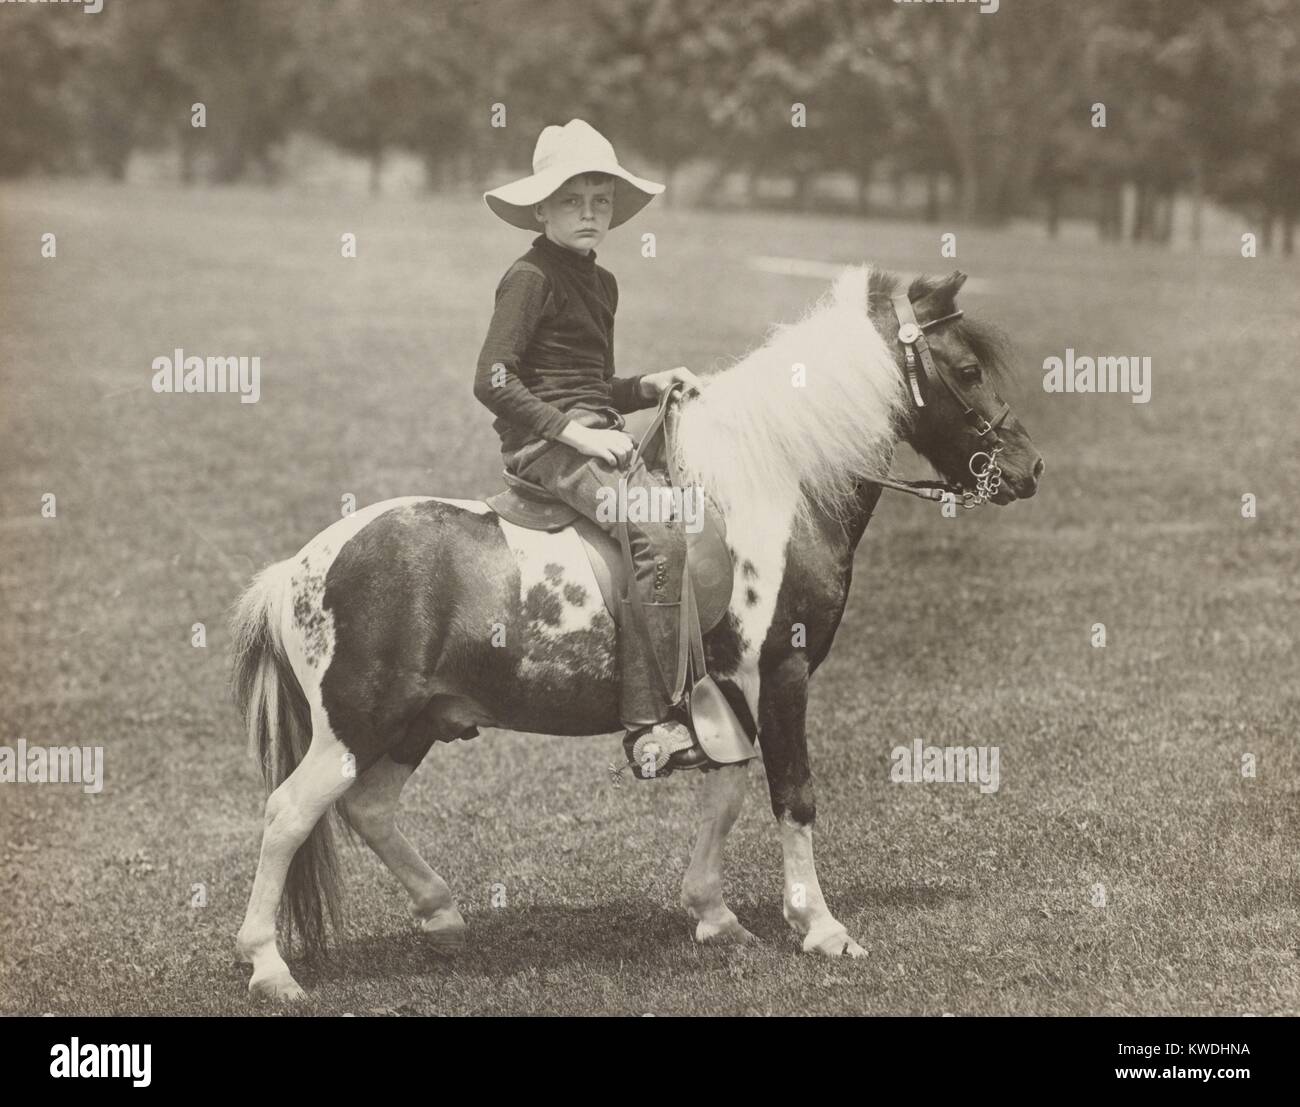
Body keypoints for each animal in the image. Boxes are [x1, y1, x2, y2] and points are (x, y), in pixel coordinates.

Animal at [231, 266, 1045, 1003]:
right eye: (966, 369)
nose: (1028, 468)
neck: (772, 490)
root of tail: (298, 568)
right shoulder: (780, 674)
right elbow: (793, 794)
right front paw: (820, 927)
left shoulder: (726, 694)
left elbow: (727, 791)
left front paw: (714, 914)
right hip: (357, 725)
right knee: (289, 814)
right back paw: (269, 966)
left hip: (417, 721)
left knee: (366, 807)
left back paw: (442, 913)